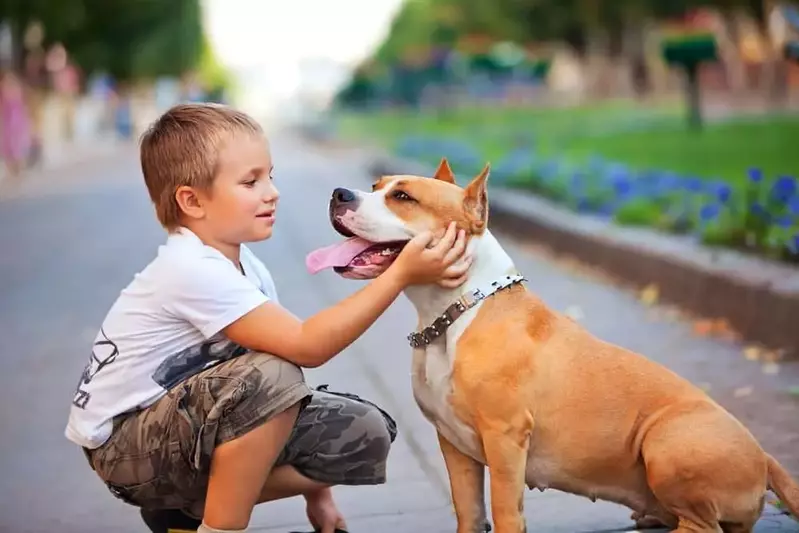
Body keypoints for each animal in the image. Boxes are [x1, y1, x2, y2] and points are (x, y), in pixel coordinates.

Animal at [306, 158, 799, 532]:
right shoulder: (453, 444)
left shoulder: (505, 438)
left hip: (667, 440)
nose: (338, 194)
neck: (451, 315)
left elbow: (505, 511)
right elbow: (469, 511)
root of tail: (766, 456)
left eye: (403, 197)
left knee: (703, 526)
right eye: (376, 186)